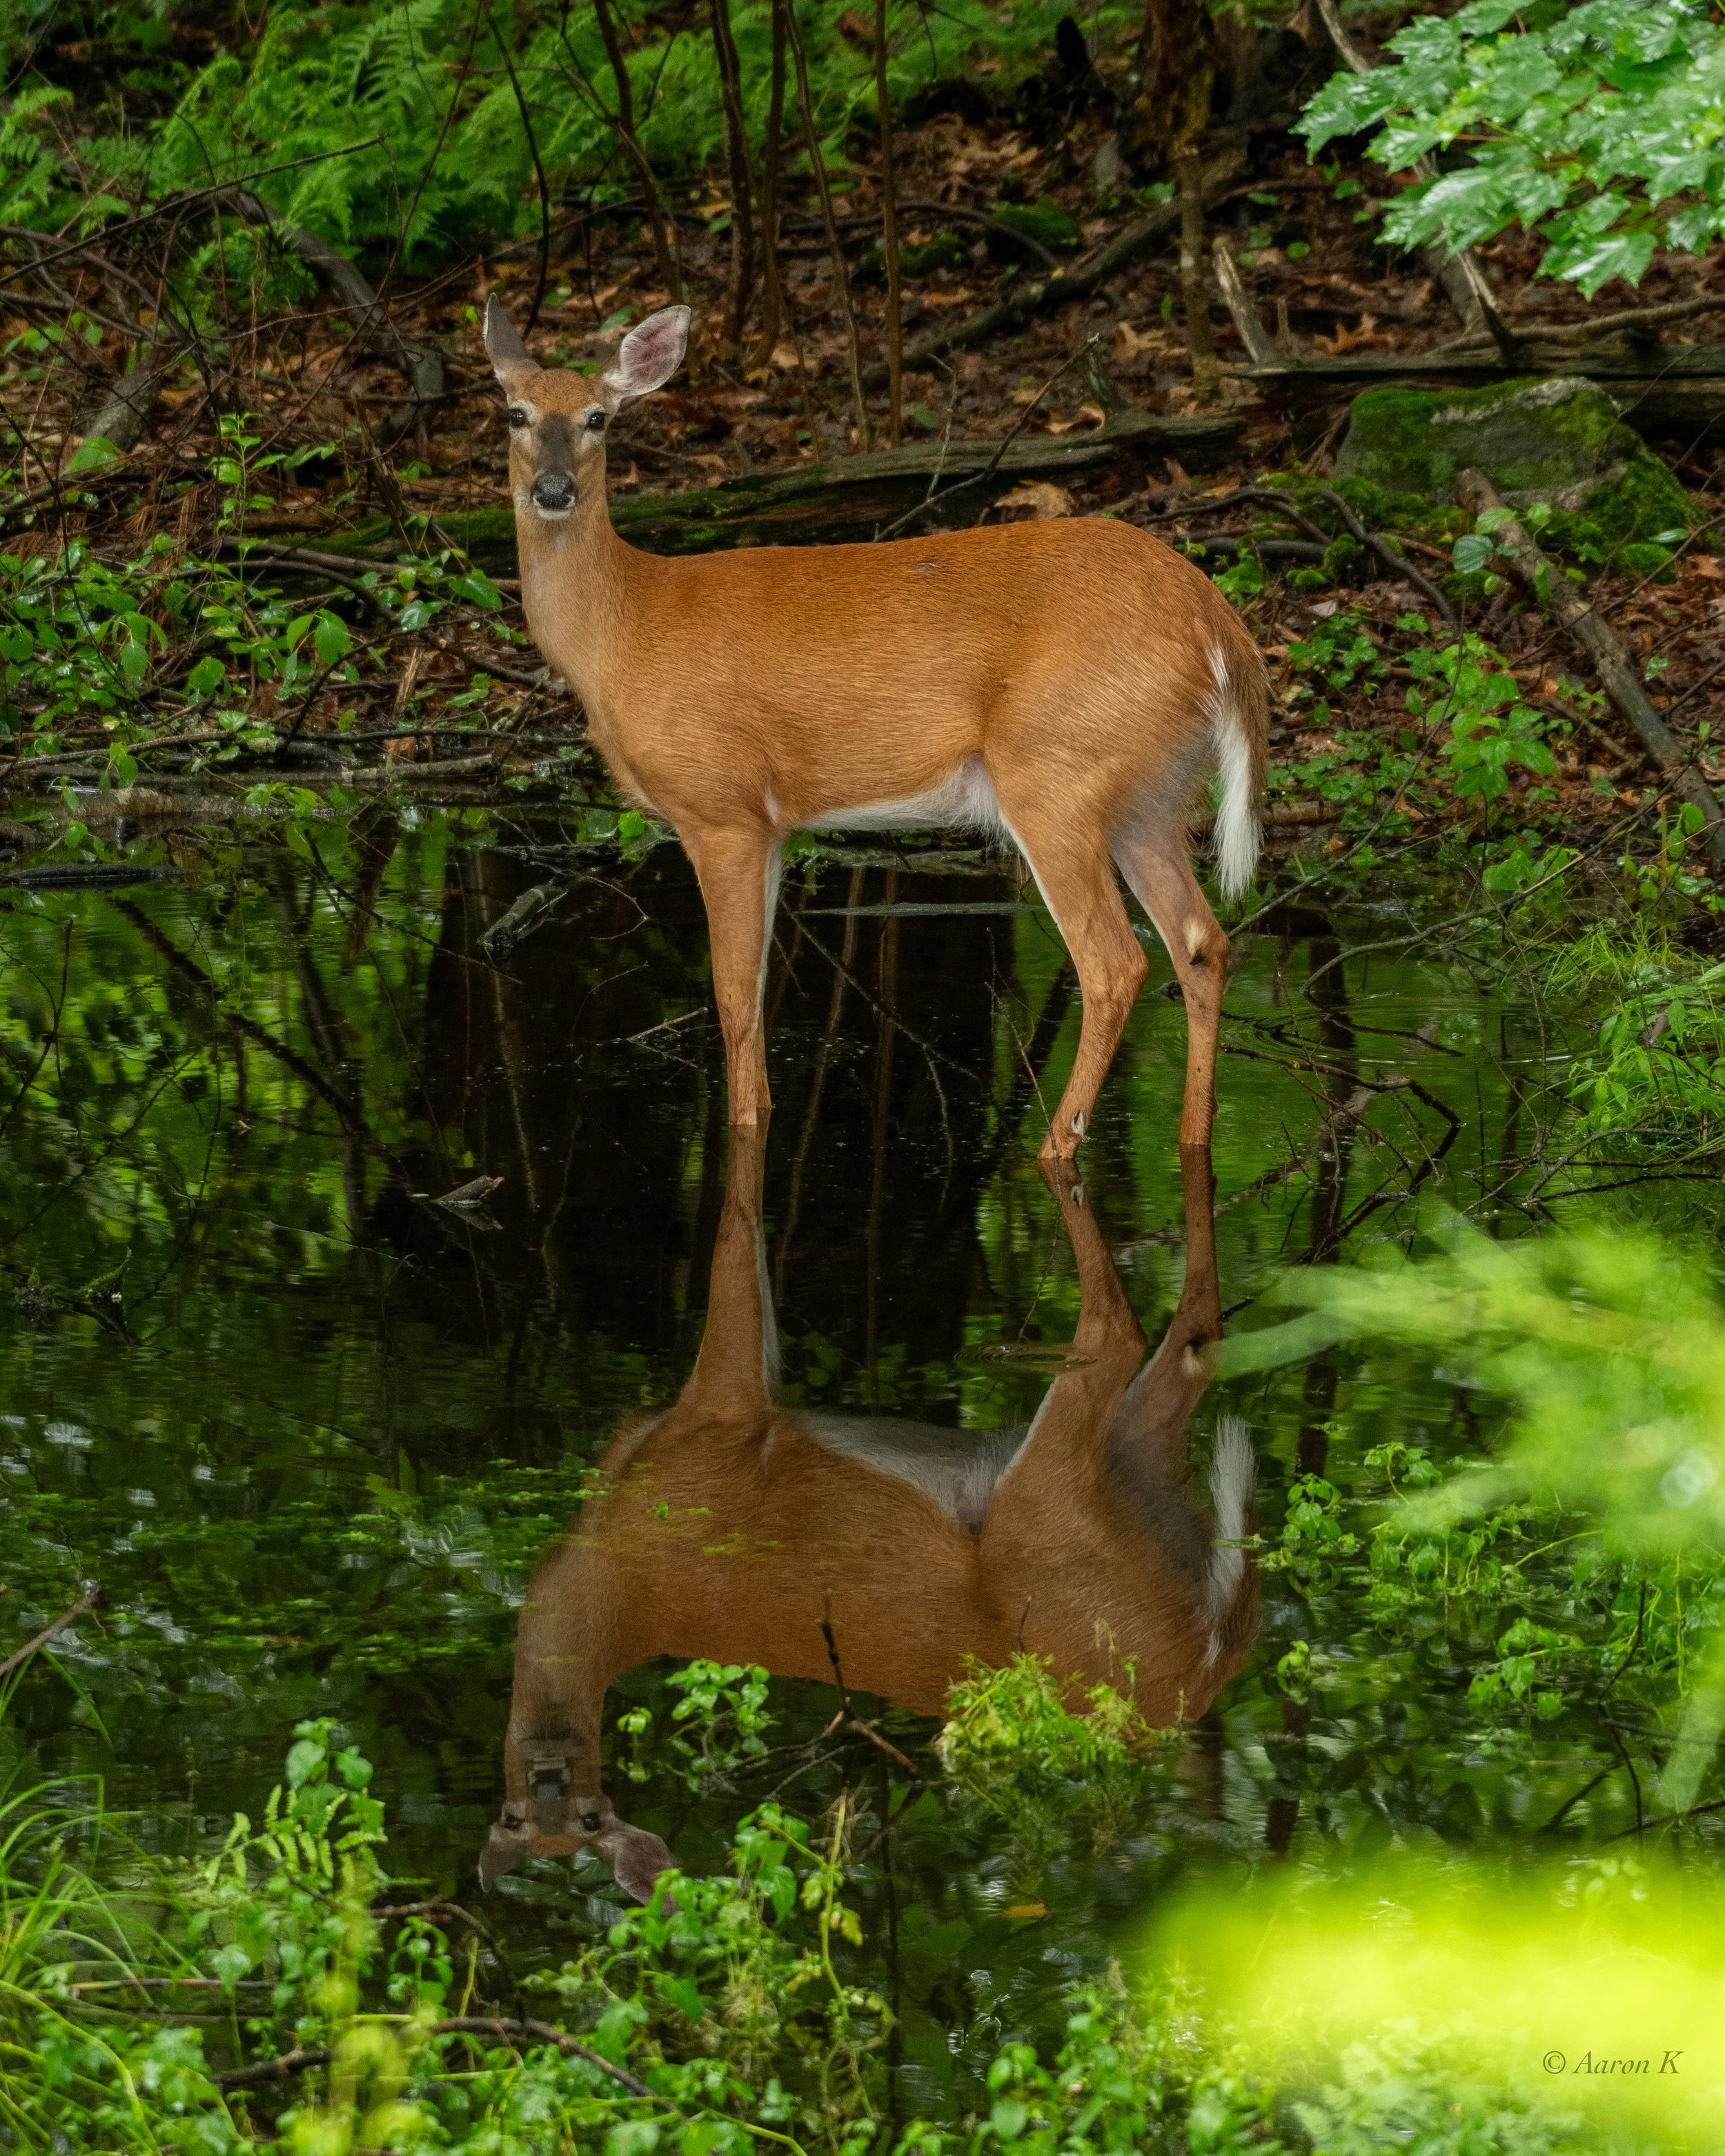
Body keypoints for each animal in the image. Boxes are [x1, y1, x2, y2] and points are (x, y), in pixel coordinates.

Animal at [477, 1131, 1257, 1903]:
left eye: (591, 1817)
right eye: (515, 1818)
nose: (548, 1778)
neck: (603, 1561)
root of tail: (1210, 1656)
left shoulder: (720, 1419)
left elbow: (737, 1214)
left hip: (1046, 1523)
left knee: (1119, 1330)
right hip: (1133, 1472)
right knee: (1197, 1337)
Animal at [482, 297, 1269, 1159]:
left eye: (598, 417)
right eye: (515, 412)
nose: (553, 489)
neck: (623, 629)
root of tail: (1218, 625)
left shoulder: (719, 806)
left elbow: (733, 995)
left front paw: (743, 1131)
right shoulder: (771, 825)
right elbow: (756, 992)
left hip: (1055, 769)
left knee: (1114, 963)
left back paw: (1054, 1148)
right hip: (1147, 794)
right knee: (1202, 943)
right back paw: (1191, 1138)